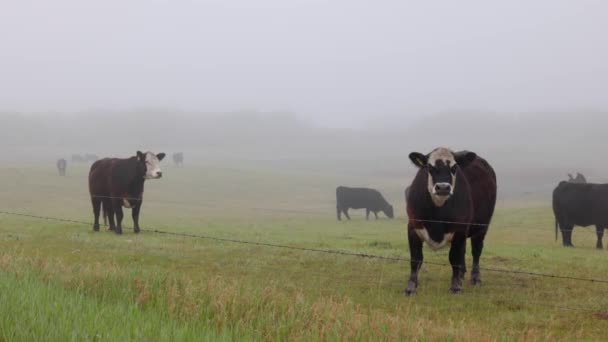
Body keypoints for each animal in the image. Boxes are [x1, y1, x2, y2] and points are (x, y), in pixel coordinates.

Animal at [404, 147, 498, 294]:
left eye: (454, 168)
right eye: (429, 167)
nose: (443, 187)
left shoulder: (459, 229)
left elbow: (454, 258)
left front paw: (455, 287)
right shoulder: (413, 227)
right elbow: (416, 258)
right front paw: (411, 287)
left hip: (482, 226)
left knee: (476, 251)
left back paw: (475, 277)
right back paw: (461, 275)